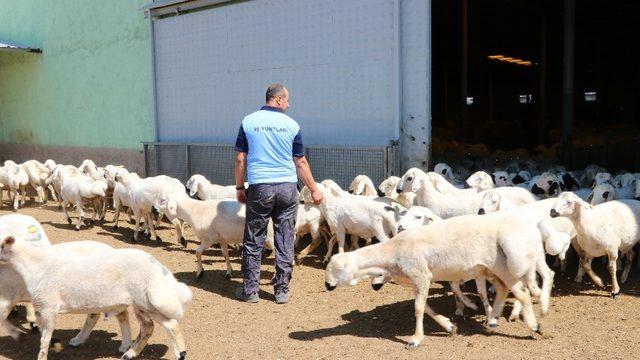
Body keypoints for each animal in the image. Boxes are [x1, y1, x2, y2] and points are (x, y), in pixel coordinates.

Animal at [0, 236, 191, 360]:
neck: (36, 265)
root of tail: (160, 268)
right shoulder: (41, 308)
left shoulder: (48, 307)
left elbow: (44, 339)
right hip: (140, 303)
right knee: (148, 327)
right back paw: (129, 352)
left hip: (149, 300)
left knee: (168, 325)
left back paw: (180, 354)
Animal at [324, 214, 544, 348]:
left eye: (337, 269)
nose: (327, 285)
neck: (393, 252)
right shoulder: (418, 281)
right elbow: (426, 308)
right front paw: (449, 326)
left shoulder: (422, 276)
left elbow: (419, 308)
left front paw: (415, 339)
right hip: (490, 269)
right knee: (502, 289)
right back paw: (492, 320)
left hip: (502, 266)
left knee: (522, 293)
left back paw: (533, 325)